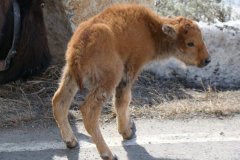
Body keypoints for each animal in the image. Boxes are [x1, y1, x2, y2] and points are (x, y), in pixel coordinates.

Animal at [52, 4, 210, 160]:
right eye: (190, 43)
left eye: (201, 38)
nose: (206, 60)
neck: (149, 29)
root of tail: (77, 49)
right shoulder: (131, 69)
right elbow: (124, 100)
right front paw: (127, 132)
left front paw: (130, 126)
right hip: (109, 79)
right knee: (88, 110)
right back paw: (108, 154)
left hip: (69, 76)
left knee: (59, 101)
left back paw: (71, 141)